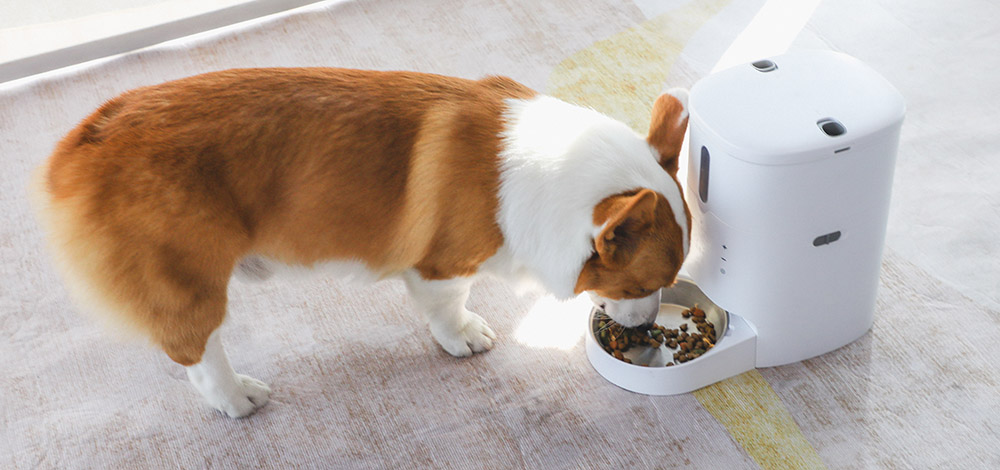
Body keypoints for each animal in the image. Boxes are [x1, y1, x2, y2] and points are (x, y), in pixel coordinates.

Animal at [31, 68, 688, 416]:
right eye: (643, 284)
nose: (640, 329)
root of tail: (81, 146)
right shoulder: (442, 268)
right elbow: (450, 309)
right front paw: (465, 338)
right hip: (192, 283)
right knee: (195, 352)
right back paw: (238, 398)